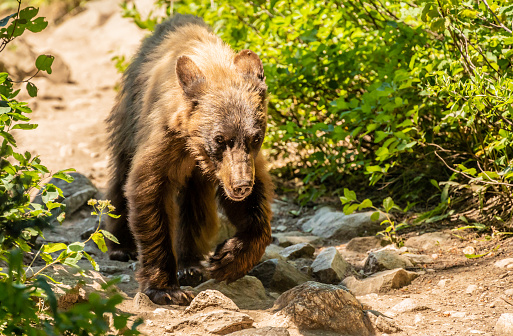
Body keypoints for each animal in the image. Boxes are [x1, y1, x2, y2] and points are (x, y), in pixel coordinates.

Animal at [103, 14, 272, 306]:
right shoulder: (164, 136)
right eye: (219, 138)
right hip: (129, 116)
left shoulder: (247, 161)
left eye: (256, 137)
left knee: (195, 204)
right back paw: (121, 246)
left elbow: (256, 205)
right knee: (120, 172)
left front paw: (227, 259)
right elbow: (148, 190)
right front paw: (165, 289)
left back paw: (191, 265)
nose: (240, 186)